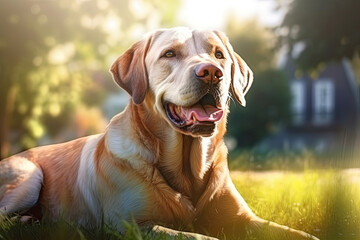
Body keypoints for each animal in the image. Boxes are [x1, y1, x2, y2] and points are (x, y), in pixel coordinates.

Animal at [0, 27, 320, 239]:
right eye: (170, 54)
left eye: (219, 54)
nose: (211, 72)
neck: (187, 168)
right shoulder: (135, 226)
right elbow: (199, 236)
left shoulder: (245, 218)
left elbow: (298, 233)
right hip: (29, 176)